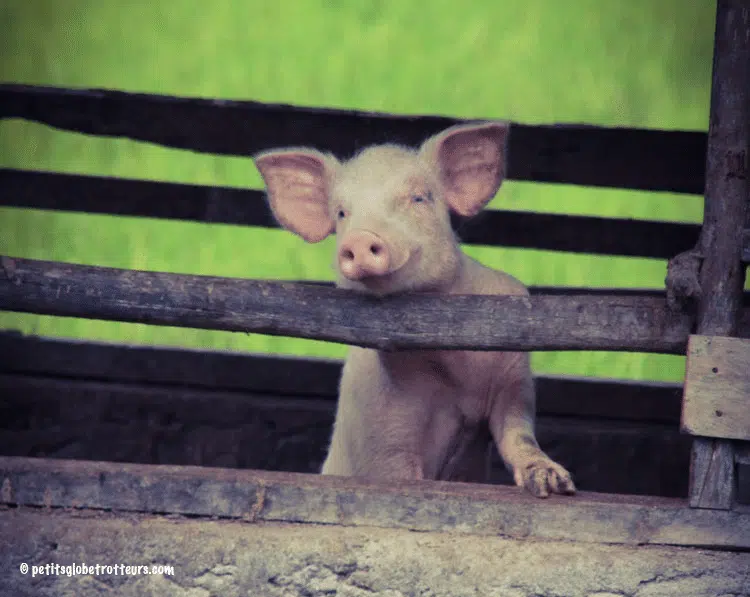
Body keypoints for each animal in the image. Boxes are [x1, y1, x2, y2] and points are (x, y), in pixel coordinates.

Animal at [253, 122, 575, 498]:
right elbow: (403, 478)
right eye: (342, 213)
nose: (360, 238)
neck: (456, 375)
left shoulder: (513, 378)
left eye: (419, 197)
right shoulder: (384, 421)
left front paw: (555, 484)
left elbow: (517, 433)